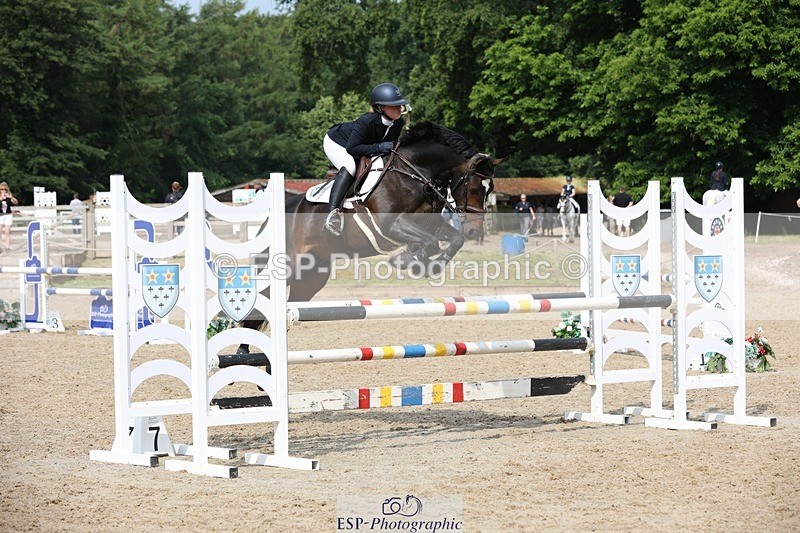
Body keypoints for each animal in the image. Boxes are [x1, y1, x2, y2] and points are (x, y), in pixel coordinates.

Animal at [237, 122, 500, 355]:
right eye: (474, 188)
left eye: (490, 189)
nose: (475, 231)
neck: (415, 173)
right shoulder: (391, 224)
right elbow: (429, 242)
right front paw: (406, 261)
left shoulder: (430, 224)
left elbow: (452, 240)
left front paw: (425, 263)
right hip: (285, 267)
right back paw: (242, 353)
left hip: (311, 277)